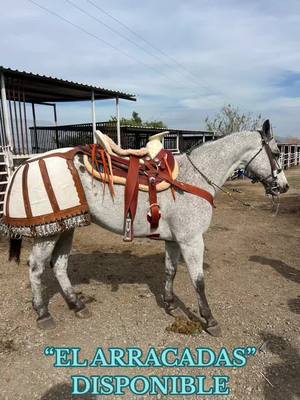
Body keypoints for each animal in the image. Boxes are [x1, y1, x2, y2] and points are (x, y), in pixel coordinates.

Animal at [8, 119, 288, 334]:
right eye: (276, 153)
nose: (283, 187)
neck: (193, 178)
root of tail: (27, 164)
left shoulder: (174, 240)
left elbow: (170, 271)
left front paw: (170, 304)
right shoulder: (192, 240)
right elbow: (198, 281)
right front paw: (209, 320)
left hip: (67, 227)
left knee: (59, 265)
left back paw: (77, 305)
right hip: (49, 233)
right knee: (36, 268)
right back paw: (43, 314)